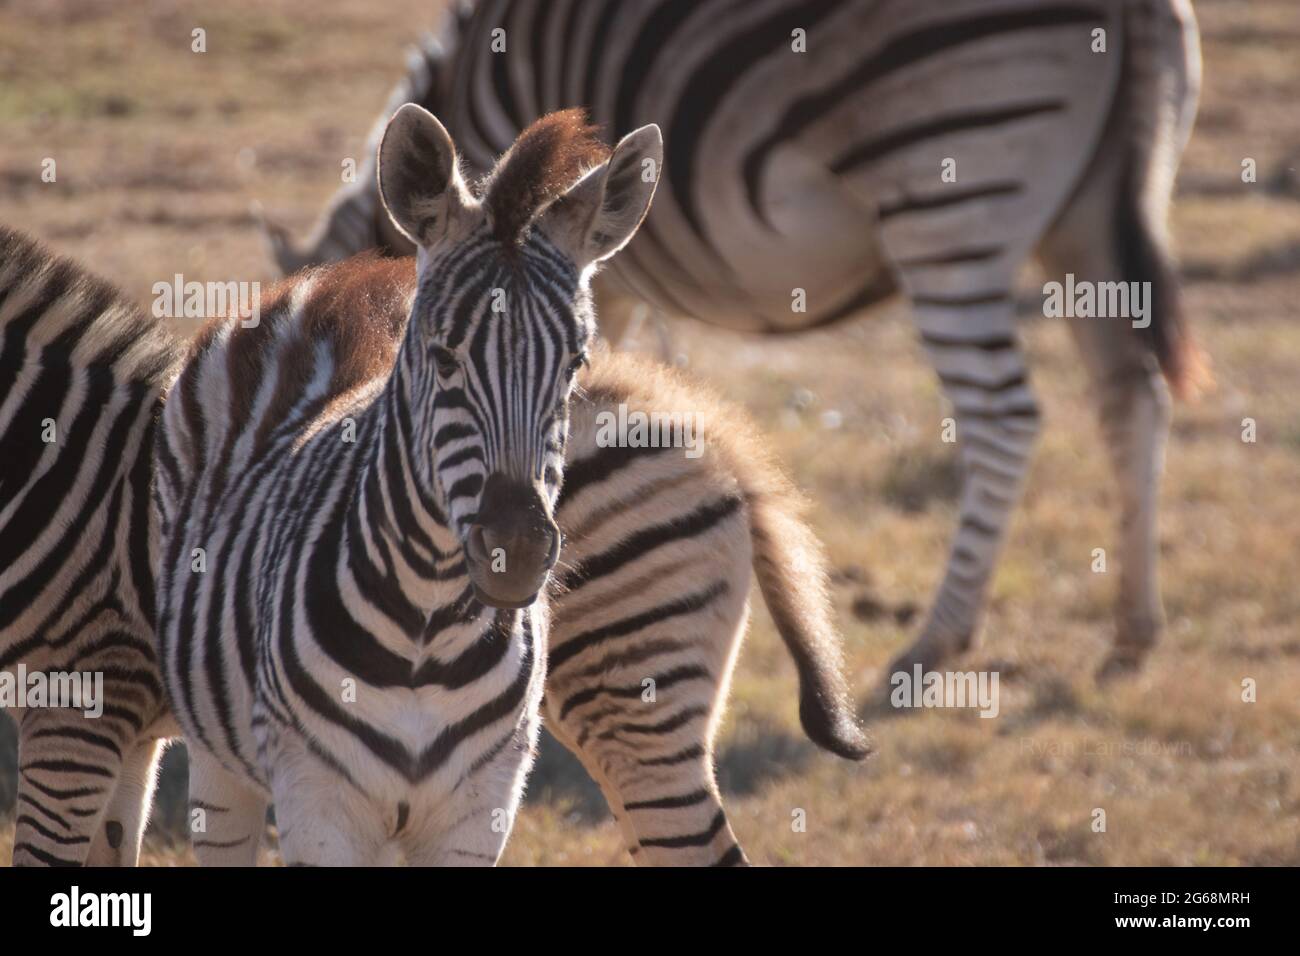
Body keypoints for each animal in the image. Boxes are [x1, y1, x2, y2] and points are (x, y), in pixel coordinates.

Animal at [165, 106, 873, 868]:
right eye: (443, 356)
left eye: (574, 362)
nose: (518, 553)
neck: (426, 626)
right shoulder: (318, 797)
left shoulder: (480, 803)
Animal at [263, 0, 1206, 686]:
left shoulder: (588, 266)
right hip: (1085, 217)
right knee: (1131, 395)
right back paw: (1134, 629)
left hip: (950, 190)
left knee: (1004, 417)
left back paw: (938, 638)